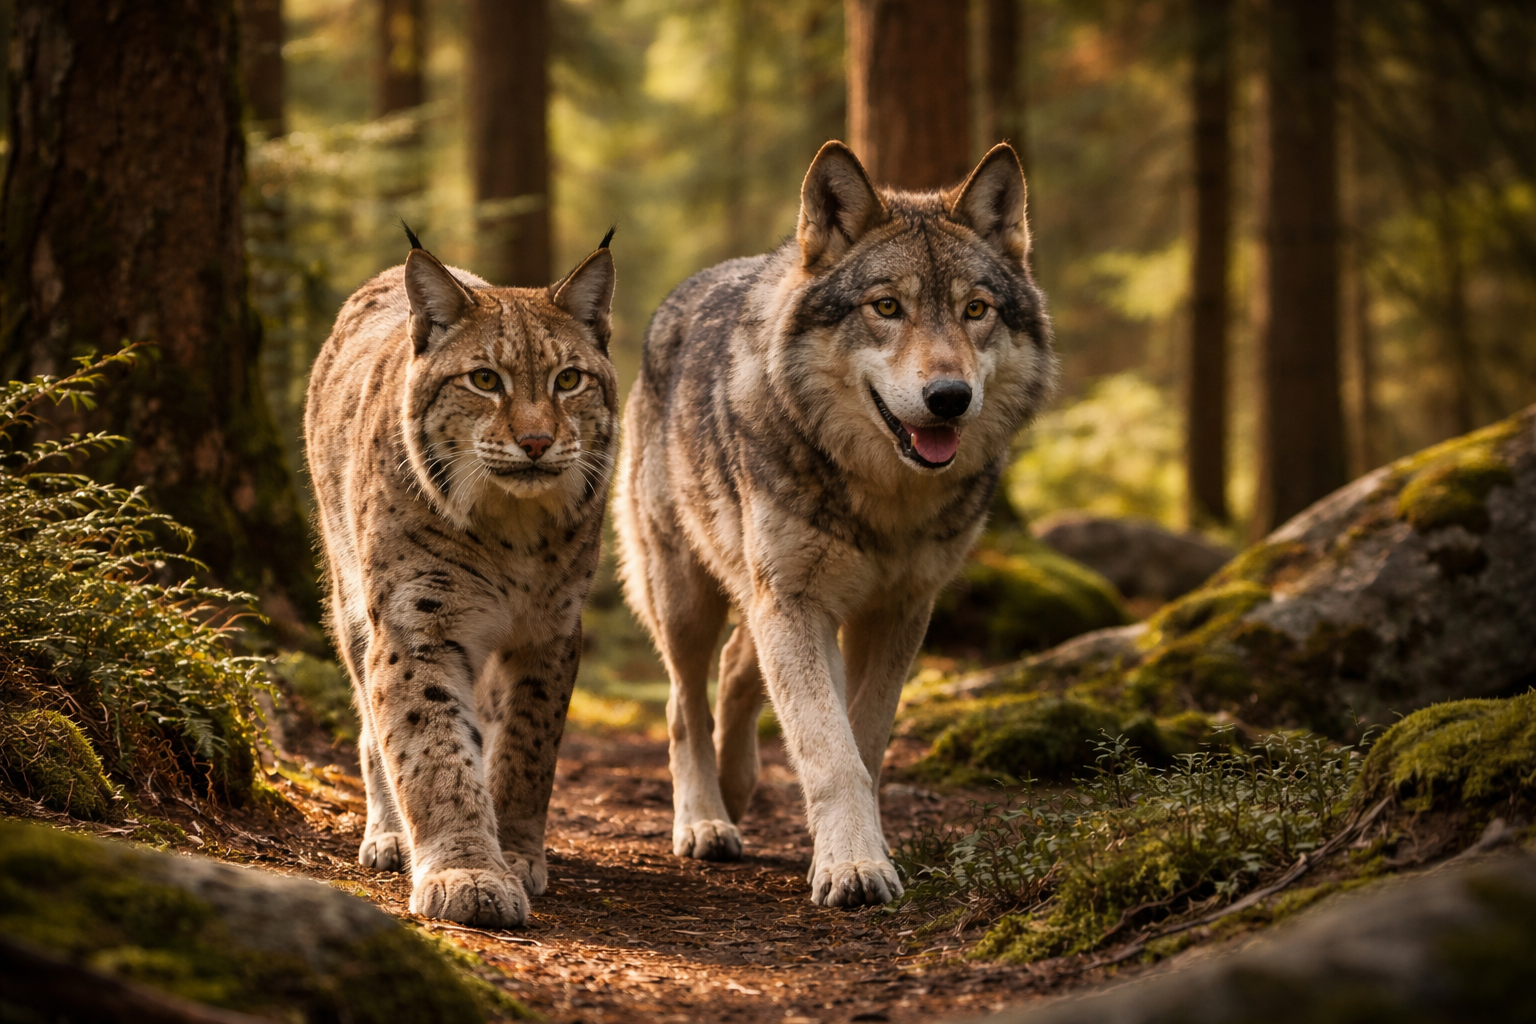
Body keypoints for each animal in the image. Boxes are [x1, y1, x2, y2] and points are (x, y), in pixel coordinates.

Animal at [615, 142, 1057, 906]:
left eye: (976, 310)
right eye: (887, 307)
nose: (950, 397)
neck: (887, 498)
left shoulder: (899, 610)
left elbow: (865, 741)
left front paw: (857, 847)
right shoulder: (798, 604)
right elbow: (829, 749)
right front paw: (852, 866)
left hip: (756, 595)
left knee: (737, 670)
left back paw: (737, 786)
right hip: (685, 597)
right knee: (683, 705)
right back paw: (704, 820)